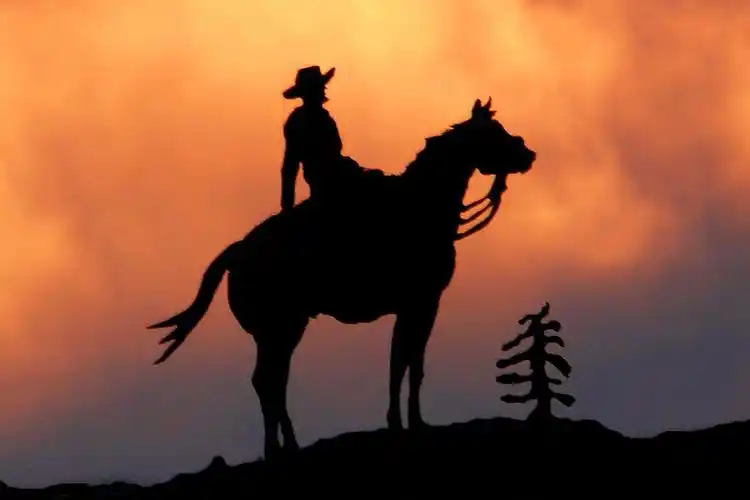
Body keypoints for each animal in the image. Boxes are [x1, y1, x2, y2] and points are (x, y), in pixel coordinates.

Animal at [149, 98, 536, 458]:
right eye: (493, 131)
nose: (527, 154)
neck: (423, 209)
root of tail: (236, 251)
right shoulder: (421, 302)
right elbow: (406, 363)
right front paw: (406, 423)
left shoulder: (416, 305)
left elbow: (406, 361)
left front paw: (405, 421)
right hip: (281, 326)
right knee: (269, 380)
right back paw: (280, 447)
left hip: (277, 331)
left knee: (272, 380)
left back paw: (285, 445)